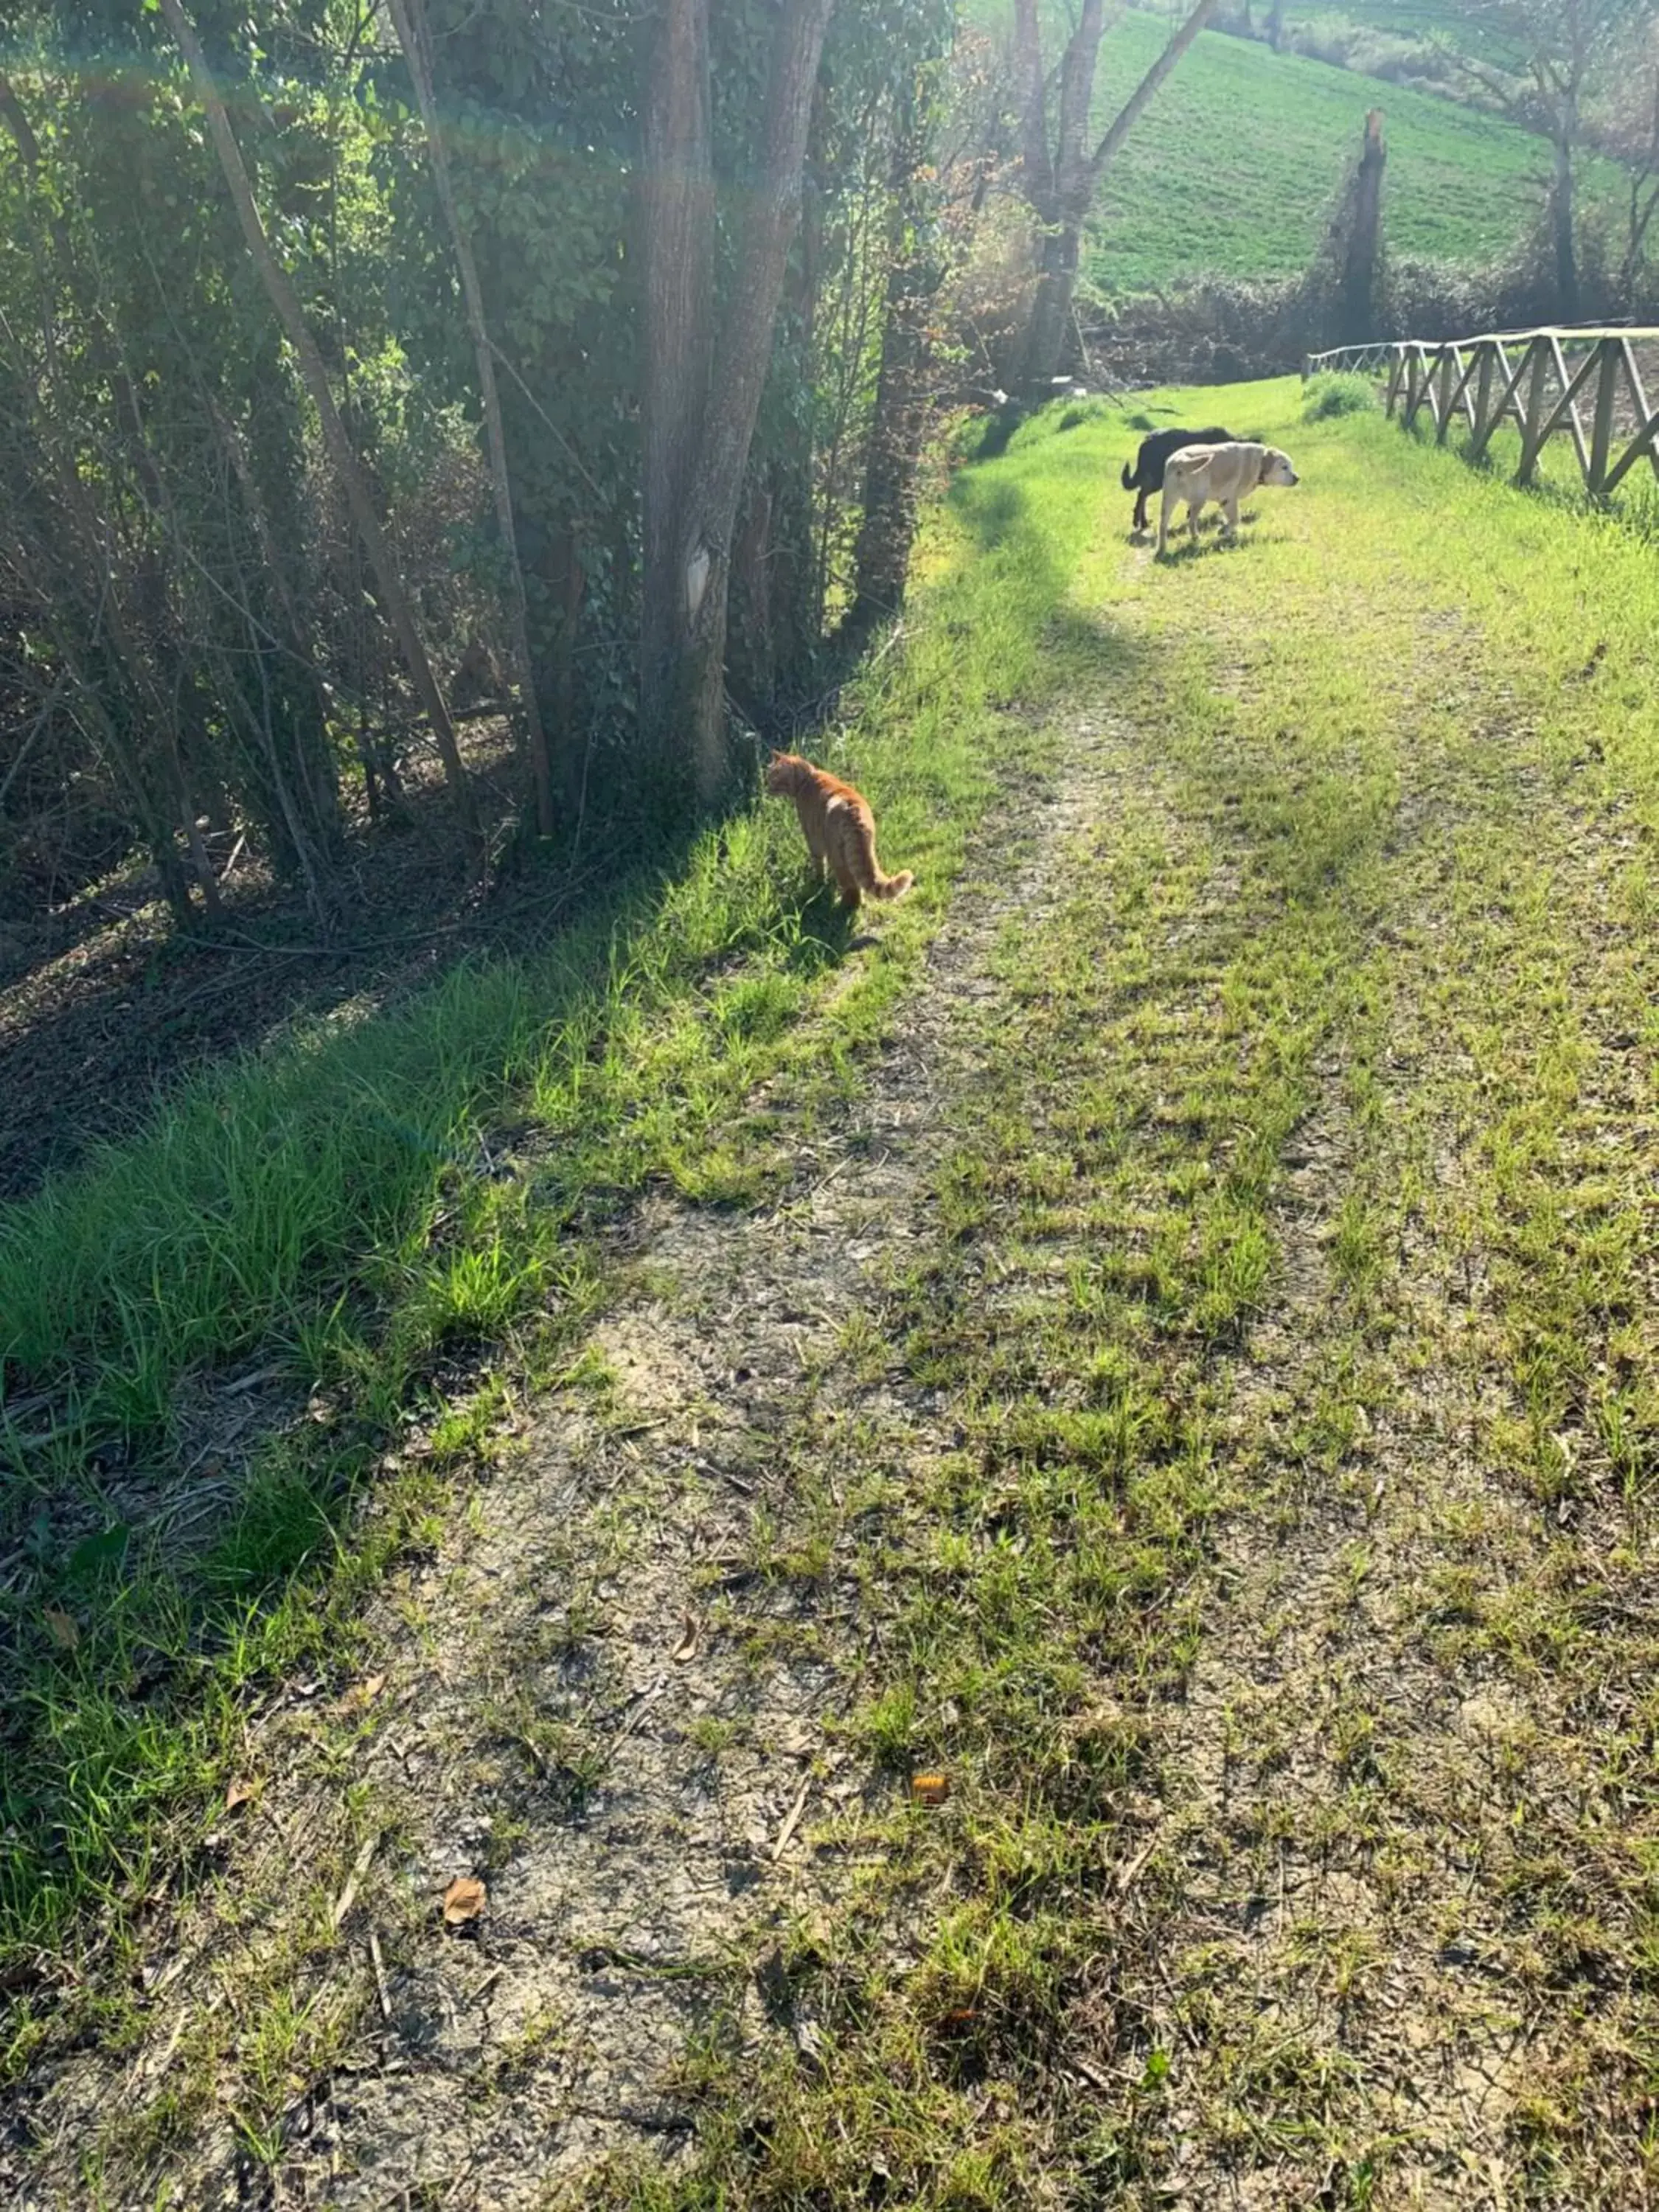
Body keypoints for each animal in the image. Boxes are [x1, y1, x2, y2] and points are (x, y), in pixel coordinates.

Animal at [770, 752, 916, 907]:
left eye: (772, 778)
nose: (766, 787)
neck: (807, 778)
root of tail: (853, 810)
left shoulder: (813, 840)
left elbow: (819, 865)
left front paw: (819, 882)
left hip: (836, 855)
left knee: (852, 887)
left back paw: (844, 905)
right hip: (865, 851)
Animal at [1124, 429, 1239, 538]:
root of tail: (1147, 439)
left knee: (1142, 493)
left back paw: (1143, 522)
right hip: (1158, 479)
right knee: (1142, 494)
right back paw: (1138, 522)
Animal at [1159, 436, 1301, 549]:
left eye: (1290, 466)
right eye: (1284, 467)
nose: (1297, 478)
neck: (1260, 463)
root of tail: (1179, 460)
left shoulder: (1225, 501)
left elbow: (1233, 520)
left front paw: (1231, 533)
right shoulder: (1229, 499)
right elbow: (1236, 519)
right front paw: (1224, 531)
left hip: (1169, 501)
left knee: (1163, 526)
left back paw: (1162, 550)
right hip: (1199, 500)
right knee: (1191, 522)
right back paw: (1195, 538)